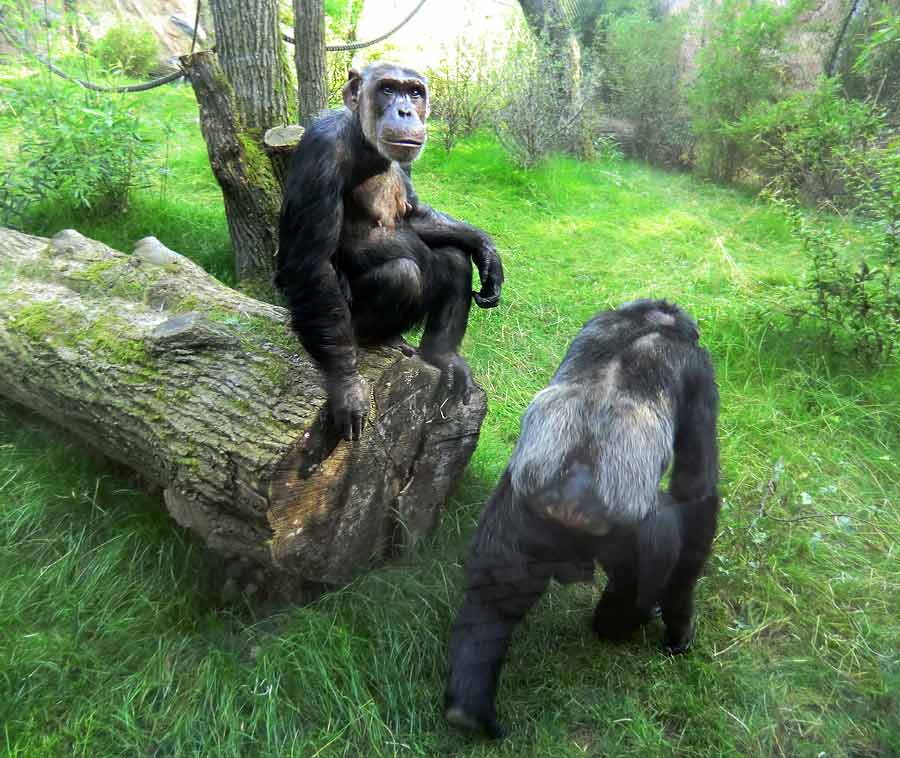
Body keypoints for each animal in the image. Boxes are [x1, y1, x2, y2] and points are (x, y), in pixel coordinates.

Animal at [278, 65, 502, 446]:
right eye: (387, 89)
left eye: (414, 92)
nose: (405, 111)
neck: (366, 145)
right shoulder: (322, 151)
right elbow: (313, 264)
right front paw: (347, 386)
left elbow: (415, 215)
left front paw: (486, 251)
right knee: (402, 273)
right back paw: (372, 341)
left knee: (453, 259)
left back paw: (439, 355)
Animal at [446, 300, 720, 740]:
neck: (651, 323)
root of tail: (568, 497)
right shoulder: (699, 369)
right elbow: (696, 490)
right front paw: (680, 623)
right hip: (629, 539)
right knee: (641, 573)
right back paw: (628, 621)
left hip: (515, 517)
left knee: (492, 601)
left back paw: (468, 708)